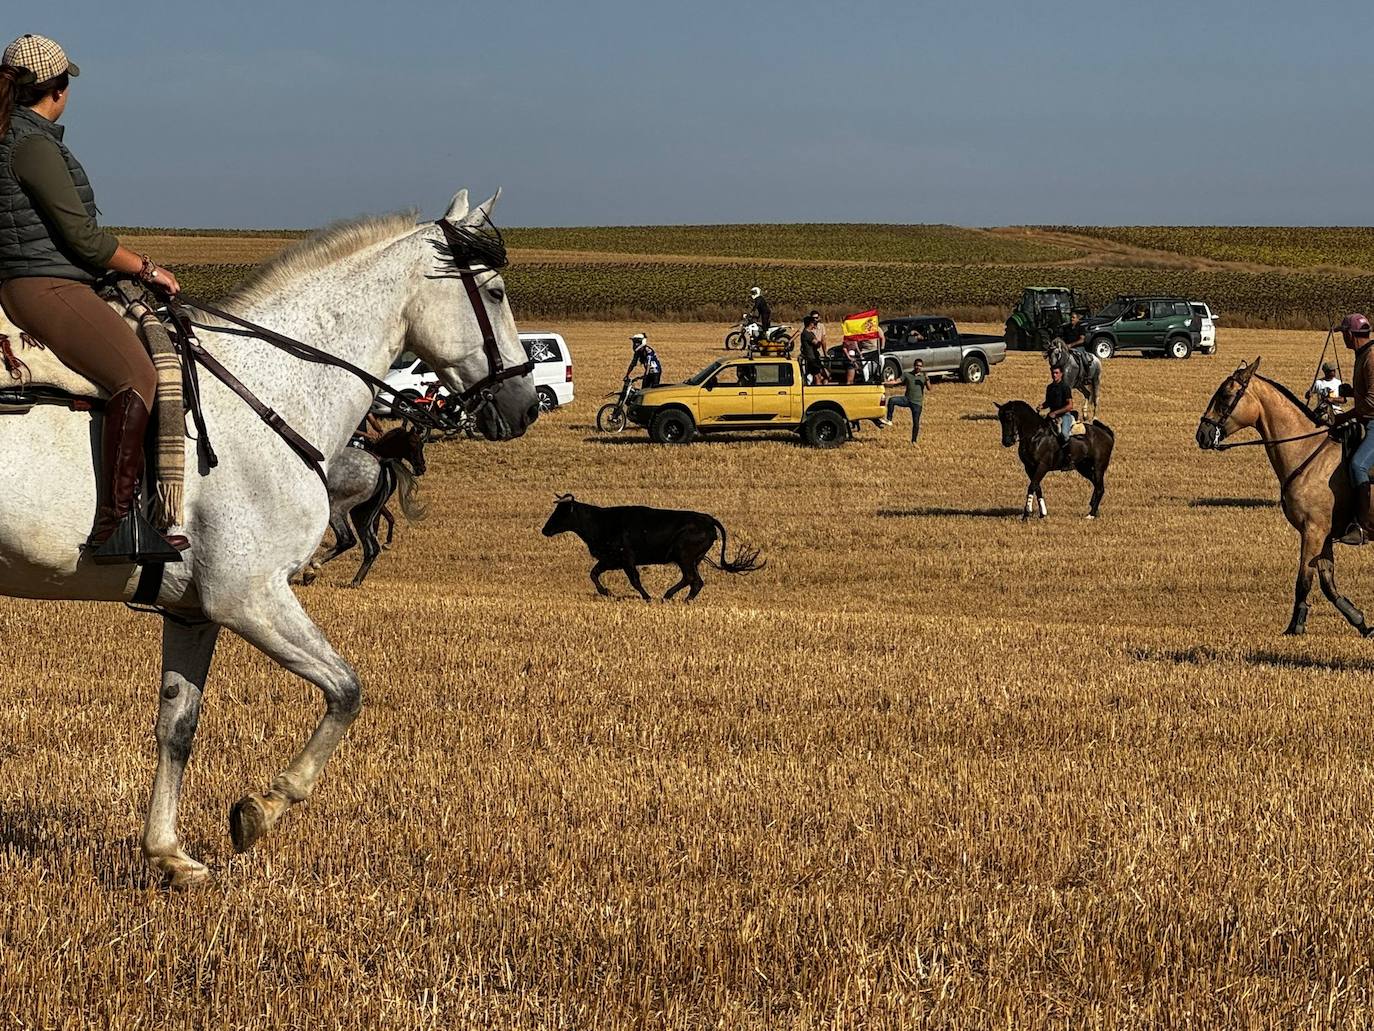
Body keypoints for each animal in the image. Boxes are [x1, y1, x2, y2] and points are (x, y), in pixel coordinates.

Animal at [544, 497, 763, 602]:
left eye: (561, 513)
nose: (544, 530)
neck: (600, 521)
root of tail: (708, 519)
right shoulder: (610, 560)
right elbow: (594, 573)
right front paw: (606, 592)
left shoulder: (626, 559)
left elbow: (634, 580)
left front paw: (647, 597)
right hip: (693, 559)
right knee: (693, 580)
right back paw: (673, 597)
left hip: (685, 556)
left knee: (692, 579)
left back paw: (674, 598)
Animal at [1198, 360, 1368, 637]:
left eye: (1225, 395)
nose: (1202, 434)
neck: (1308, 455)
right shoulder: (1325, 535)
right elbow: (1327, 582)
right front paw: (1360, 621)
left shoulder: (1313, 530)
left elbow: (1304, 580)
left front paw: (1295, 626)